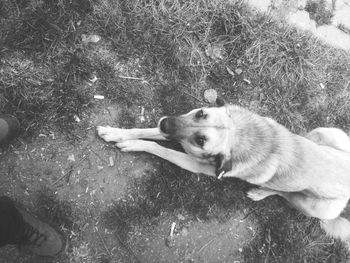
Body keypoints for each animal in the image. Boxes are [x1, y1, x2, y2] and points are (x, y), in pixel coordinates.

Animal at [97, 99, 350, 243]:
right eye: (200, 113)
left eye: (201, 140)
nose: (165, 122)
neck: (240, 135)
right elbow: (146, 131)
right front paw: (116, 133)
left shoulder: (193, 162)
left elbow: (160, 148)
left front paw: (133, 144)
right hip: (327, 133)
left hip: (316, 208)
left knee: (286, 194)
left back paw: (259, 192)